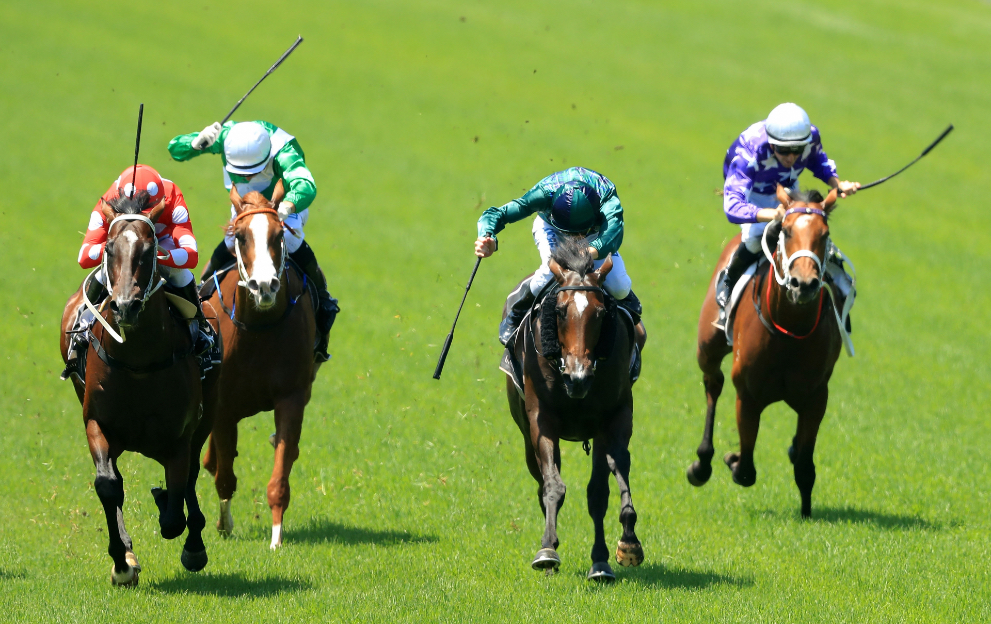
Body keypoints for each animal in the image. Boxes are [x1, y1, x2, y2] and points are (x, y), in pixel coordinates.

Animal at [59, 193, 221, 586]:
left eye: (149, 251)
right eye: (109, 248)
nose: (125, 306)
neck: (138, 364)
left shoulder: (179, 435)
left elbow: (175, 508)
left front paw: (176, 520)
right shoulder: (97, 422)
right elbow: (108, 484)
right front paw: (122, 562)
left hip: (206, 416)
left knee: (189, 479)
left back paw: (193, 541)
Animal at [200, 180, 320, 549]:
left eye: (278, 234)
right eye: (240, 236)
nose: (265, 286)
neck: (258, 330)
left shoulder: (291, 397)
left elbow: (280, 477)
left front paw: (276, 538)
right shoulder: (223, 406)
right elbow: (225, 478)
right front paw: (224, 525)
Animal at [504, 236, 646, 581]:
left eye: (600, 313)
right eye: (559, 311)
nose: (577, 376)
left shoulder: (614, 417)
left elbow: (605, 486)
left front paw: (622, 547)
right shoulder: (541, 420)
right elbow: (553, 486)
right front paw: (547, 551)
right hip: (526, 432)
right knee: (542, 483)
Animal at [688, 184, 842, 517]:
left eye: (824, 234)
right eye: (786, 230)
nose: (803, 284)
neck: (789, 331)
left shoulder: (816, 397)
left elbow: (805, 466)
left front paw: (806, 510)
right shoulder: (748, 394)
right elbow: (746, 469)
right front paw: (732, 459)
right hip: (707, 347)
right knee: (712, 383)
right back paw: (702, 463)